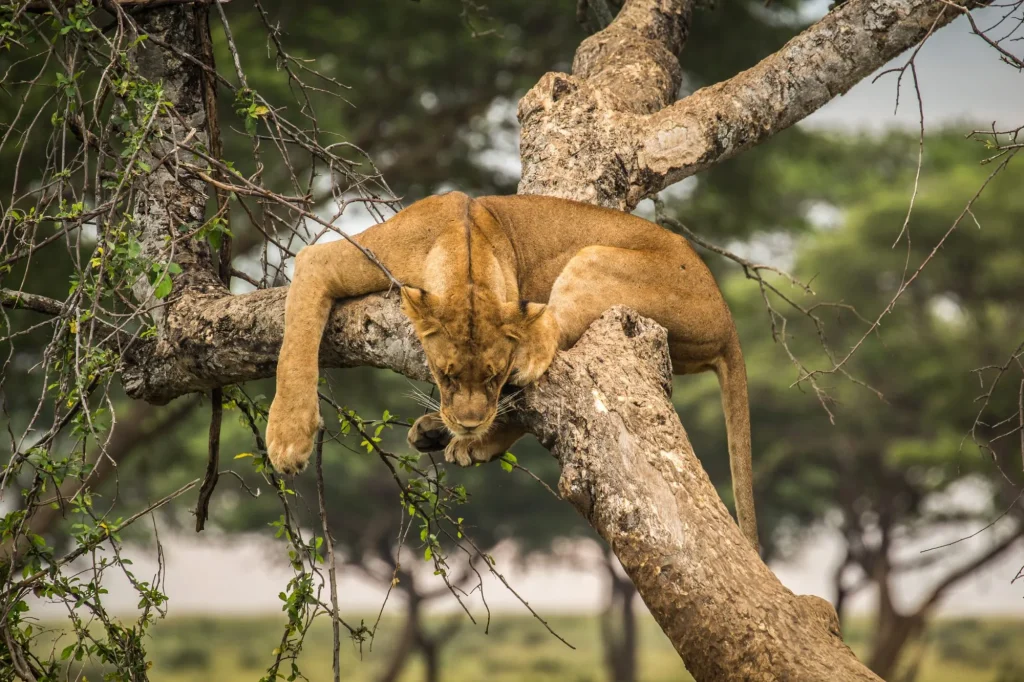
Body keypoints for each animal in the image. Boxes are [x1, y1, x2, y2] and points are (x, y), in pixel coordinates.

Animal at [265, 191, 758, 548]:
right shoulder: (327, 260)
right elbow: (297, 337)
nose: (469, 421)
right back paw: (442, 433)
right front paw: (289, 435)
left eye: (493, 377)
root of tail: (728, 319)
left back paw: (468, 435)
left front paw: (286, 440)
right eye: (445, 375)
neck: (464, 248)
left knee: (552, 338)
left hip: (594, 259)